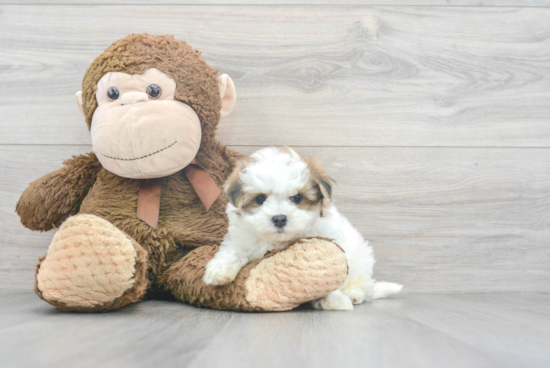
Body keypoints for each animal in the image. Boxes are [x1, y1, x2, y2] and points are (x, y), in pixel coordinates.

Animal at [205, 147, 404, 310]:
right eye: (260, 198)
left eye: (297, 198)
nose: (279, 218)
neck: (279, 241)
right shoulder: (241, 237)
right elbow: (232, 251)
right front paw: (218, 271)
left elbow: (328, 276)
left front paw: (333, 299)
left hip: (361, 259)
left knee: (363, 284)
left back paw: (354, 294)